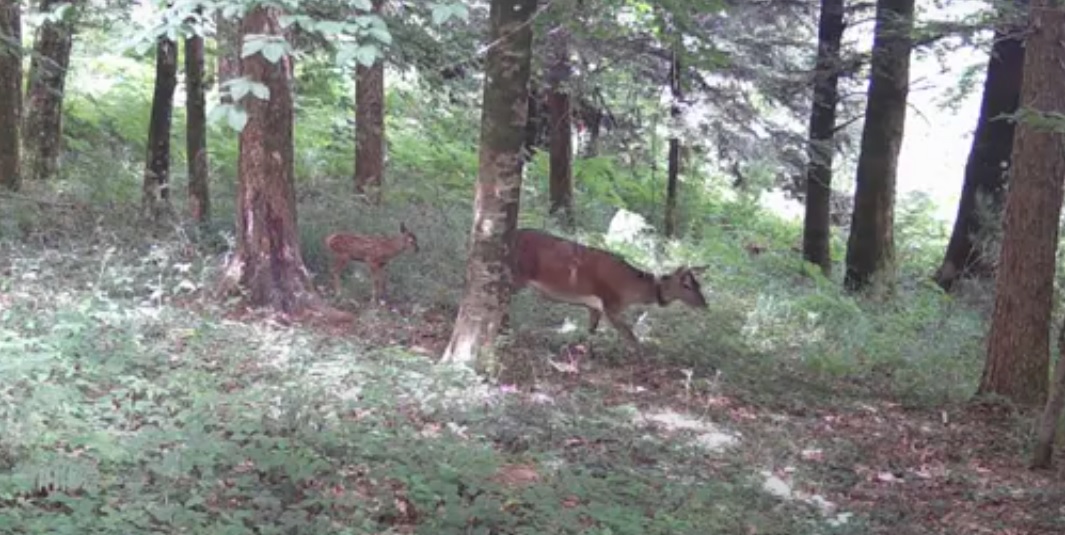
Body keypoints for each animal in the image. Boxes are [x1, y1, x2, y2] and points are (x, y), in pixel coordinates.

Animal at [513, 229, 707, 351]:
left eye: (698, 284)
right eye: (686, 285)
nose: (705, 305)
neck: (629, 292)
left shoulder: (594, 306)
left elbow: (590, 331)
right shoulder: (610, 304)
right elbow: (630, 335)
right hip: (517, 275)